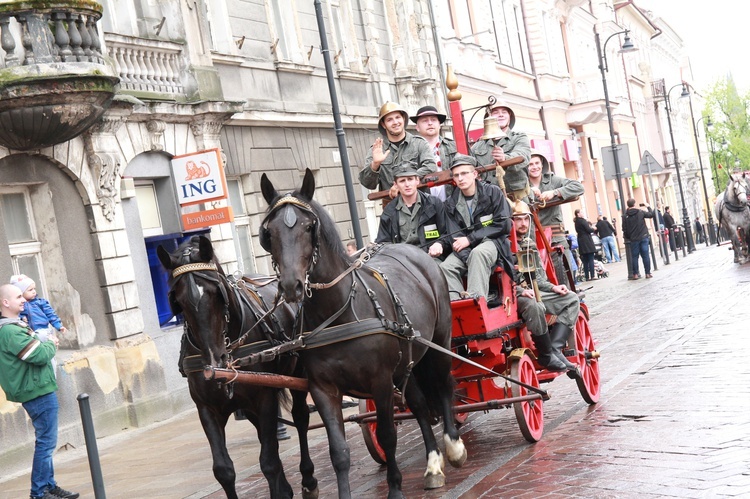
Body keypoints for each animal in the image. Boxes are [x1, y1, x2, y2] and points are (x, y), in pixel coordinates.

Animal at [157, 237, 318, 499]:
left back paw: (308, 479)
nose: (215, 360)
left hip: (297, 376)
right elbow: (224, 470)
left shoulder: (264, 397)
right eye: (178, 301)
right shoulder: (207, 408)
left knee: (300, 418)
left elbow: (269, 461)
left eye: (217, 294)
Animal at [262, 169, 468, 499]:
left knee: (445, 385)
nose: (292, 285)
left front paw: (395, 488)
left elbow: (387, 435)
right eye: (270, 232)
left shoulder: (380, 381)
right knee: (420, 404)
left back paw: (453, 446)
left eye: (309, 227)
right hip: (407, 360)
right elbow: (339, 452)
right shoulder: (323, 388)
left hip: (439, 341)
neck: (337, 313)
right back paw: (433, 463)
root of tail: (414, 251)